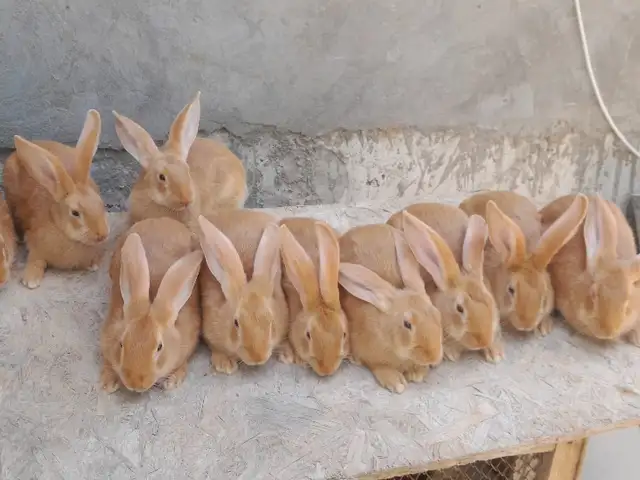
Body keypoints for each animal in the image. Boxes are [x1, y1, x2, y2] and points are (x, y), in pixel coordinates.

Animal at [3, 110, 110, 289]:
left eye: (101, 203)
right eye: (75, 213)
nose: (102, 235)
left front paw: (93, 264)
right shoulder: (35, 244)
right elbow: (36, 260)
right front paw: (30, 280)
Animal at [100, 217, 203, 393]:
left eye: (159, 347)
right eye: (121, 343)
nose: (135, 384)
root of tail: (162, 219)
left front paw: (173, 381)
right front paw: (108, 383)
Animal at [338, 223, 443, 394]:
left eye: (437, 315)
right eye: (407, 324)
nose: (433, 356)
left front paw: (416, 373)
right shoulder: (370, 355)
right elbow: (377, 366)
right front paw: (396, 382)